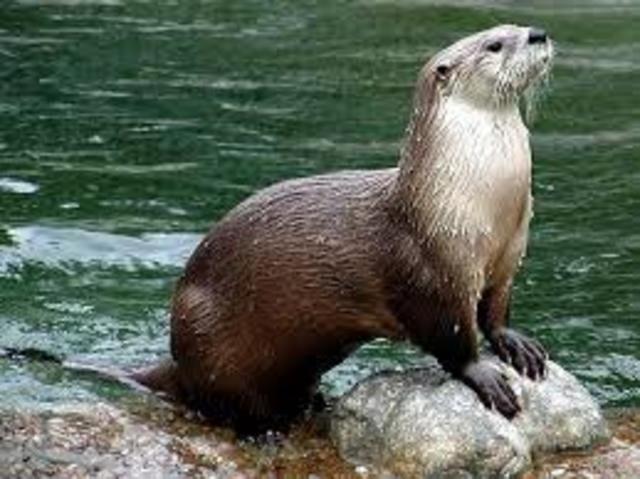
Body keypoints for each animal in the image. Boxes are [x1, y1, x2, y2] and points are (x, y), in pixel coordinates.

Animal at [132, 24, 554, 434]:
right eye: (495, 44)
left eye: (516, 26)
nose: (538, 33)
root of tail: (177, 357)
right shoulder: (433, 272)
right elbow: (452, 340)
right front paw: (483, 375)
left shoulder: (508, 257)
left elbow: (495, 312)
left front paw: (516, 343)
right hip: (208, 336)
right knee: (229, 404)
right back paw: (267, 431)